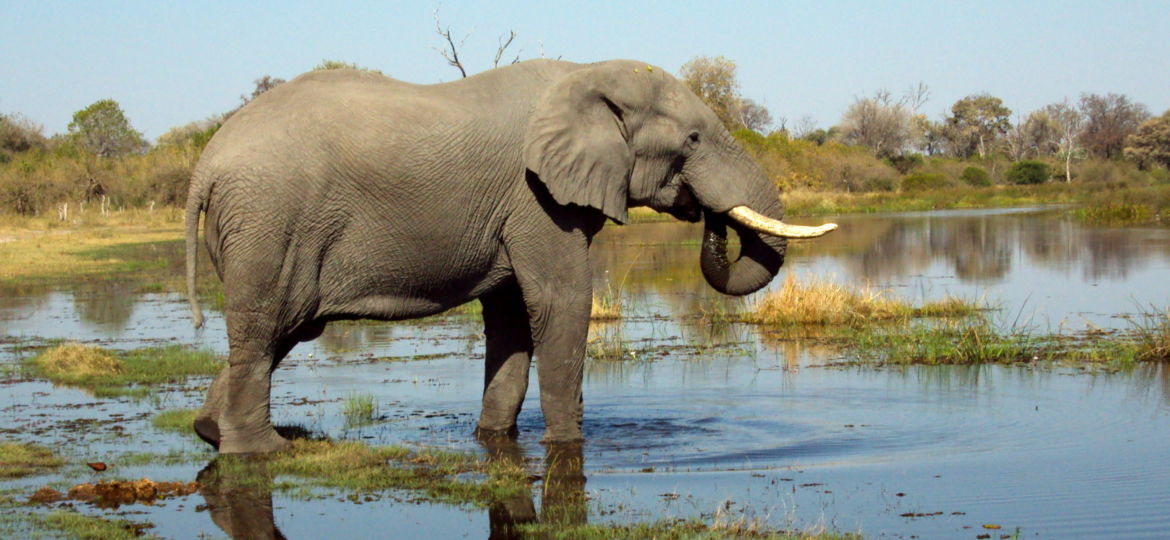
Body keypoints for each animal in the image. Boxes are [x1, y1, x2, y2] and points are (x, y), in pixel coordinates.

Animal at [184, 58, 836, 454]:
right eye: (694, 140)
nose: (710, 215)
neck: (585, 76)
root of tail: (205, 164)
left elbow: (511, 319)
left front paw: (494, 440)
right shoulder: (536, 198)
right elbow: (560, 303)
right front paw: (568, 446)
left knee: (285, 328)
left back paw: (210, 432)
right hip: (268, 221)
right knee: (266, 325)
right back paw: (261, 449)